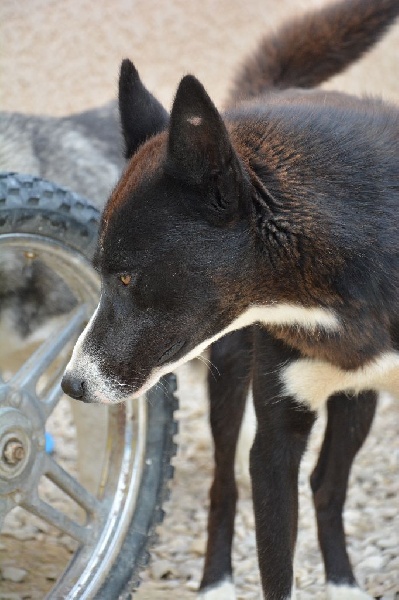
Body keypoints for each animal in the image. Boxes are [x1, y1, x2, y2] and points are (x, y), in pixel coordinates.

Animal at [61, 0, 398, 596]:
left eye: (125, 279)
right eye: (99, 276)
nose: (71, 386)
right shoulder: (274, 443)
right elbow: (274, 565)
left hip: (359, 399)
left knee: (328, 485)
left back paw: (342, 582)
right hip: (231, 375)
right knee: (227, 486)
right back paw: (217, 580)